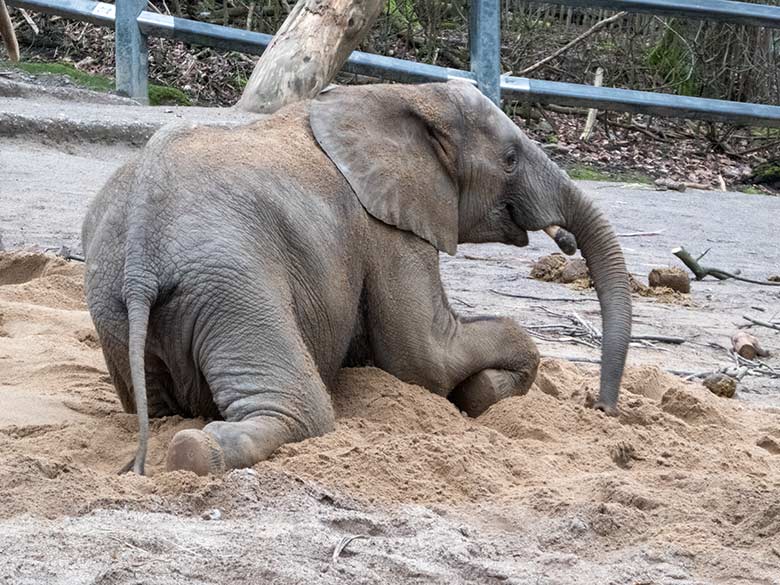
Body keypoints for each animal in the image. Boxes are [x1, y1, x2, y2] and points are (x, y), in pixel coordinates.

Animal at [84, 81, 632, 474]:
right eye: (510, 159)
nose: (602, 409)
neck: (396, 93)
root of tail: (142, 249)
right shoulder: (388, 230)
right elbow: (426, 358)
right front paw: (479, 393)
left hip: (112, 299)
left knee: (155, 404)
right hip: (232, 282)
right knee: (304, 410)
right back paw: (198, 451)